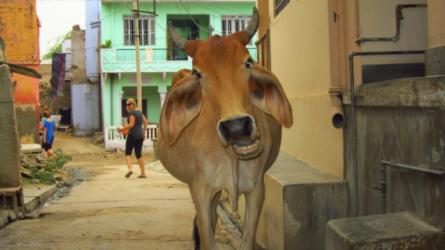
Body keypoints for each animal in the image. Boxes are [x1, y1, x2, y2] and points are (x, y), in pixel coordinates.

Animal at [154, 7, 294, 250]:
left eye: (248, 62)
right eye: (197, 73)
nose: (236, 127)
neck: (230, 156)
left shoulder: (257, 189)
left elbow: (247, 240)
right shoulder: (201, 190)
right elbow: (208, 236)